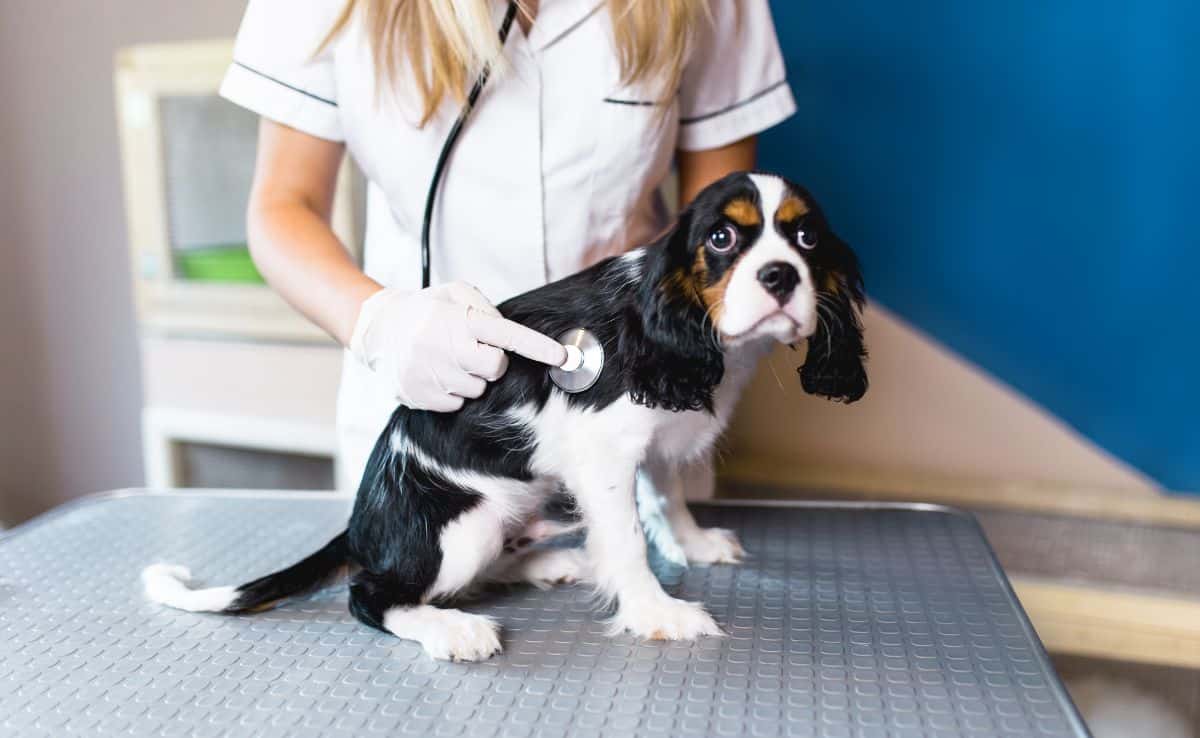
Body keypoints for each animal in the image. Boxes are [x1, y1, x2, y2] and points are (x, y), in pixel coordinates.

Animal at [145, 172, 868, 662]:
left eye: (807, 238)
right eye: (722, 238)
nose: (780, 276)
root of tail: (361, 524)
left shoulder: (659, 435)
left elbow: (667, 496)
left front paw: (692, 542)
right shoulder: (604, 454)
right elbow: (628, 538)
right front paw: (655, 611)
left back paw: (552, 565)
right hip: (460, 526)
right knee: (375, 593)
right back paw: (450, 628)